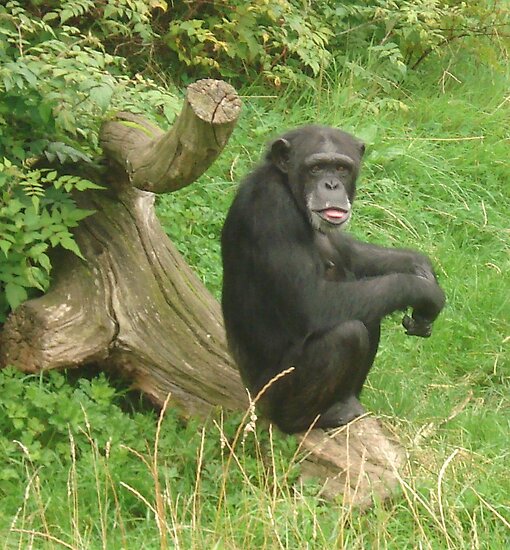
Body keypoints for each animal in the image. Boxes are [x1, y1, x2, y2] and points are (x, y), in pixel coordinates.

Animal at [221, 126, 444, 436]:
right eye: (315, 168)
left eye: (341, 168)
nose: (331, 185)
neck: (290, 191)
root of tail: (251, 397)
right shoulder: (271, 210)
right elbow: (311, 303)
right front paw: (425, 291)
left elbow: (348, 253)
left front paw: (420, 267)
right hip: (270, 397)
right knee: (346, 333)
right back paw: (308, 419)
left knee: (368, 314)